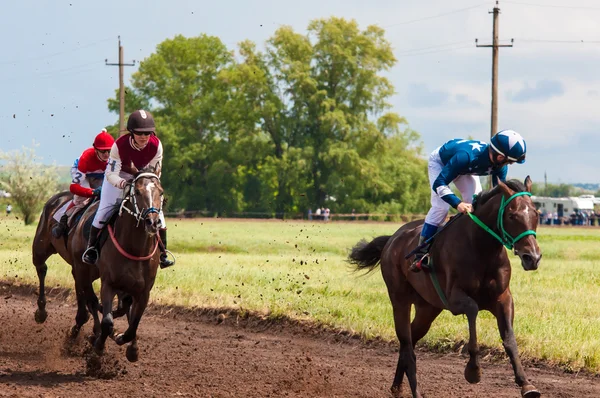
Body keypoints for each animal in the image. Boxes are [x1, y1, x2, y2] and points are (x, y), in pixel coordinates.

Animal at [92, 166, 165, 362]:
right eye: (137, 192)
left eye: (161, 192)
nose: (153, 222)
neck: (135, 249)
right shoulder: (108, 283)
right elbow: (107, 321)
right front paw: (98, 349)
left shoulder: (144, 292)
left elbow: (133, 325)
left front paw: (129, 347)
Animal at [350, 178, 540, 398]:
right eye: (512, 215)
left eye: (536, 213)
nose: (532, 257)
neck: (481, 248)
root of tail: (392, 239)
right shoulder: (454, 299)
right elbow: (473, 311)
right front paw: (473, 370)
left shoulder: (503, 298)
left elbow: (509, 339)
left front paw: (526, 384)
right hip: (399, 299)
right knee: (407, 344)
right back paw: (416, 392)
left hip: (428, 308)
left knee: (410, 340)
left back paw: (396, 387)